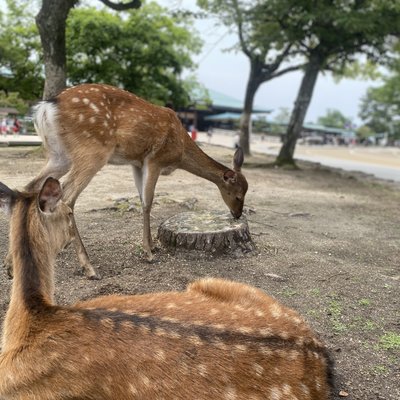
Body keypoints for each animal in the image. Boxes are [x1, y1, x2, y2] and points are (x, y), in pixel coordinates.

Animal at [14, 84, 247, 278]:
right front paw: (149, 252)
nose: (237, 214)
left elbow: (141, 198)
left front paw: (151, 246)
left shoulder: (137, 163)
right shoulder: (155, 159)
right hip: (92, 150)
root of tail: (46, 108)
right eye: (238, 195)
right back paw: (89, 267)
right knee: (67, 196)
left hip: (59, 155)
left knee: (29, 187)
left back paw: (13, 264)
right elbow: (148, 202)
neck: (180, 152)